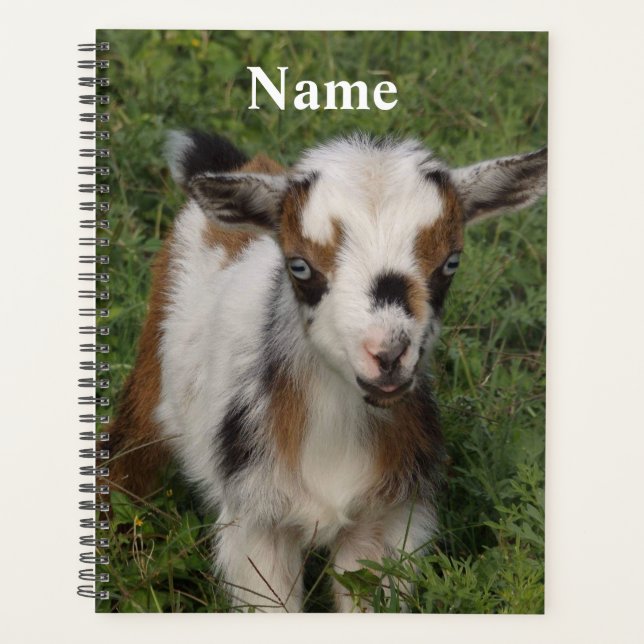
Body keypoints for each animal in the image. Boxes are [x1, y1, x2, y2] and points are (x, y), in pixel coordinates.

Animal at [109, 131, 547, 612]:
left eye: (451, 262)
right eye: (299, 267)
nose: (388, 353)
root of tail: (246, 164)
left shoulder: (384, 522)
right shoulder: (256, 523)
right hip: (152, 376)